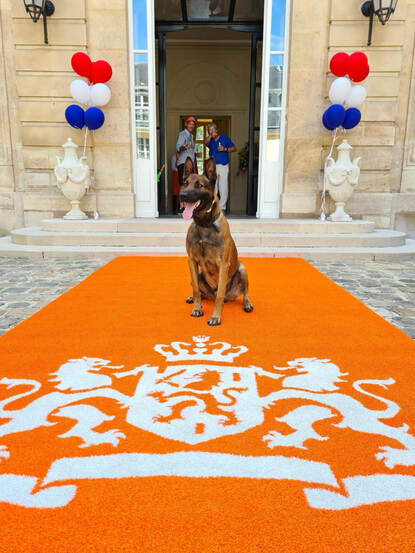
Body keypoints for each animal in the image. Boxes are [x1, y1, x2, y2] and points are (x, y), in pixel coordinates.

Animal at [181, 155, 255, 326]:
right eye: (185, 183)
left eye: (199, 185)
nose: (183, 195)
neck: (204, 224)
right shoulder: (191, 261)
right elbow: (196, 290)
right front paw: (197, 308)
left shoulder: (223, 264)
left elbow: (220, 294)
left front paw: (215, 316)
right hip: (198, 273)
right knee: (201, 292)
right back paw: (195, 299)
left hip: (242, 270)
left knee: (244, 292)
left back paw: (247, 304)